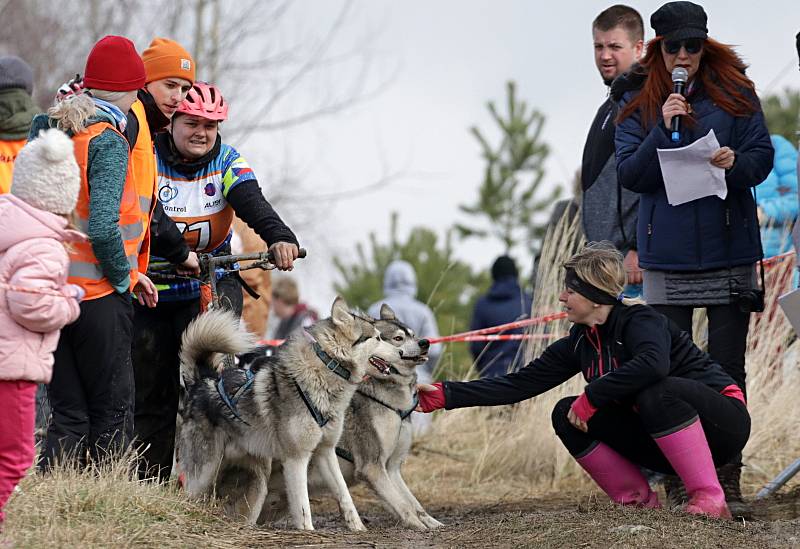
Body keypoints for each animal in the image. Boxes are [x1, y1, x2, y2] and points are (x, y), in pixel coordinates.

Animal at [176, 298, 400, 528]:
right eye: (378, 338)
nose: (401, 353)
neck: (324, 378)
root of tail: (203, 381)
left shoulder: (325, 451)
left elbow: (344, 495)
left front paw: (358, 528)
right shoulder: (297, 458)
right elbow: (303, 507)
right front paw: (308, 531)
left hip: (256, 479)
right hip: (203, 472)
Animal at [256, 304, 444, 532]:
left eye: (413, 335)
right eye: (398, 338)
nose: (425, 342)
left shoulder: (391, 468)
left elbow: (414, 503)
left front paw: (433, 523)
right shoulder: (372, 467)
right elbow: (404, 506)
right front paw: (418, 526)